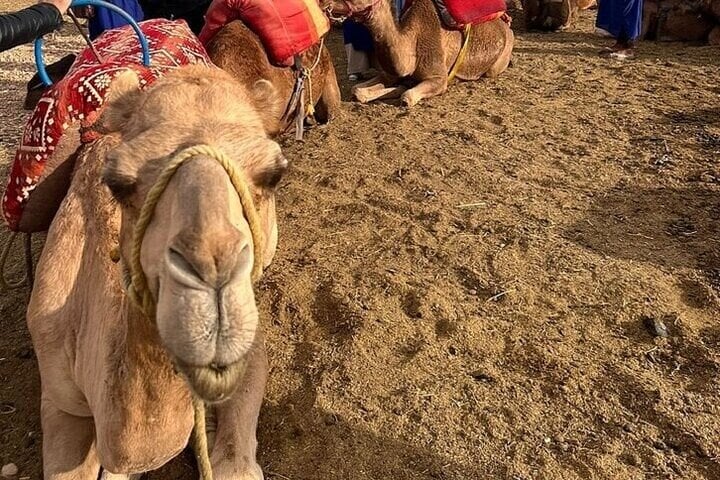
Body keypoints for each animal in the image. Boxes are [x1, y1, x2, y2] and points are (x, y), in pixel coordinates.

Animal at [27, 65, 286, 479]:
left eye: (274, 175)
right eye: (118, 182)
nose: (207, 305)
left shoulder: (253, 347)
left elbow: (235, 462)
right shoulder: (58, 395)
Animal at [326, 0, 514, 107]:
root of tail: (507, 27)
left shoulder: (438, 78)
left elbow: (406, 97)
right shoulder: (390, 74)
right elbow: (357, 90)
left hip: (498, 61)